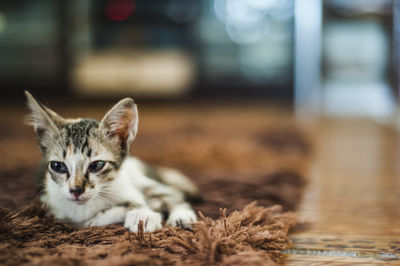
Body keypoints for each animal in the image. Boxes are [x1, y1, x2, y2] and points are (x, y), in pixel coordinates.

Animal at [24, 92, 198, 233]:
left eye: (96, 165)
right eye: (58, 166)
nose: (76, 190)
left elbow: (137, 201)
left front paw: (142, 214)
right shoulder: (50, 208)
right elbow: (89, 221)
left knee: (170, 192)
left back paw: (181, 215)